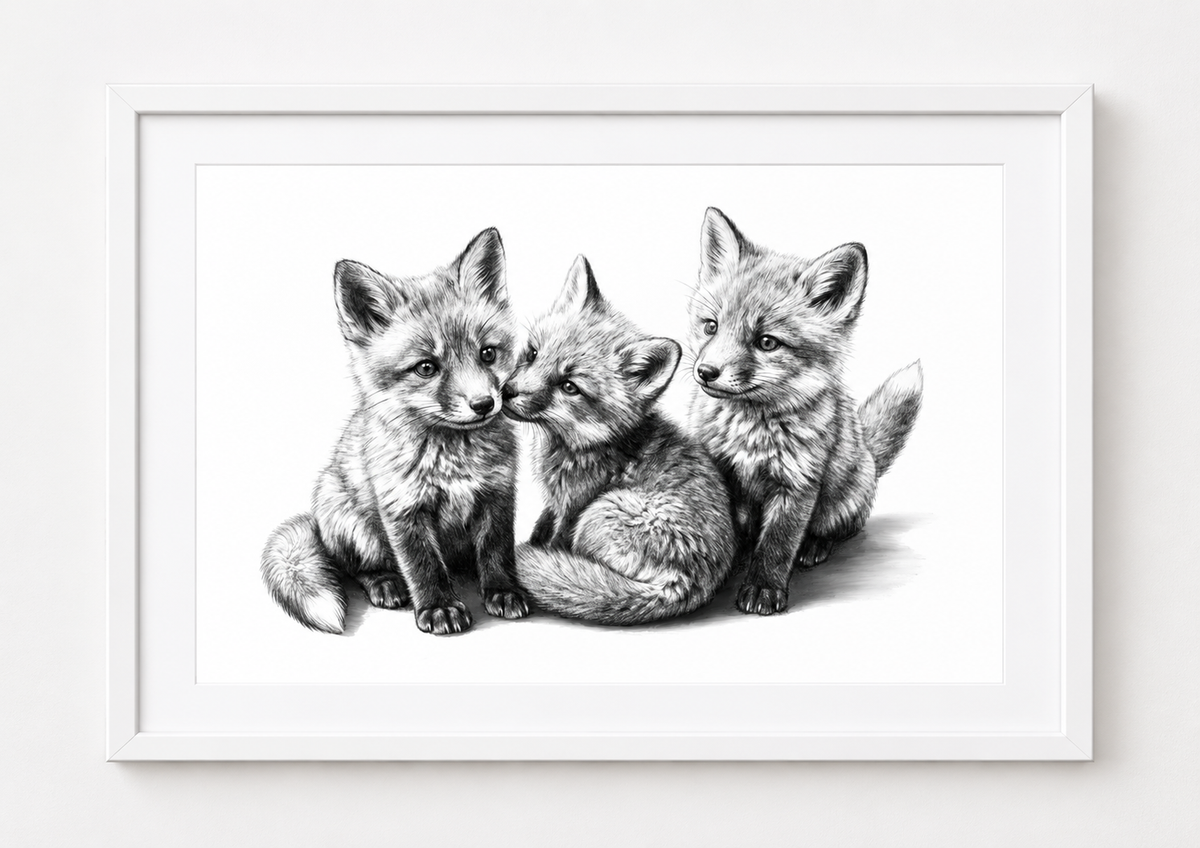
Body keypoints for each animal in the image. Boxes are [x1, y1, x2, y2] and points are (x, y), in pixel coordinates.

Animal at [260, 228, 530, 636]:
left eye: (487, 353)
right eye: (426, 367)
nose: (484, 404)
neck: (453, 459)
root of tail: (316, 522)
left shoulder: (497, 494)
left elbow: (496, 552)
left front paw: (503, 591)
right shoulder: (403, 508)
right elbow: (424, 565)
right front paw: (439, 608)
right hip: (354, 525)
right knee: (359, 568)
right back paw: (385, 583)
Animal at [503, 255, 736, 625]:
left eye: (569, 386)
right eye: (533, 353)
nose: (506, 393)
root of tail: (687, 583)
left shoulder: (574, 506)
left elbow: (554, 540)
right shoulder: (555, 503)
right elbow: (543, 525)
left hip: (598, 514)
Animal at [686, 207, 923, 616]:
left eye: (767, 342)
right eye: (711, 327)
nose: (706, 372)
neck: (750, 432)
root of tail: (870, 456)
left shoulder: (797, 484)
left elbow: (778, 544)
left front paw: (764, 588)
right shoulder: (721, 472)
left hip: (843, 499)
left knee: (840, 529)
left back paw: (815, 546)